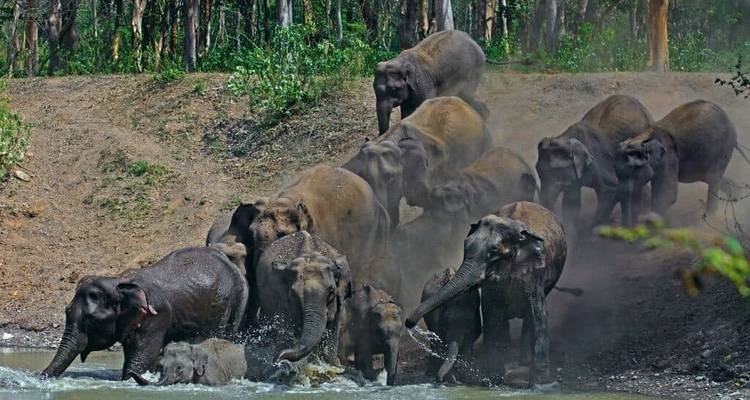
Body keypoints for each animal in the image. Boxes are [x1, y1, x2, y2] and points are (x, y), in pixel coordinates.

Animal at [41, 247, 249, 380]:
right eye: (66, 311)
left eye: (91, 319)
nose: (39, 375)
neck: (118, 281)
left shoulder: (156, 316)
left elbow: (140, 360)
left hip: (232, 301)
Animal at [255, 231, 352, 365]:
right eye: (293, 293)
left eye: (332, 291)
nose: (277, 359)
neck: (310, 253)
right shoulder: (279, 295)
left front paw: (331, 363)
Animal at [406, 201, 567, 386]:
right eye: (465, 246)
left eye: (493, 252)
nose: (408, 323)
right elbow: (493, 316)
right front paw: (494, 381)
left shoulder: (535, 273)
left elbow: (538, 315)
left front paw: (542, 384)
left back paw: (525, 364)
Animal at [536, 95, 653, 232]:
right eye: (537, 170)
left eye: (557, 171)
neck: (565, 138)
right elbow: (571, 203)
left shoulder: (598, 162)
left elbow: (609, 189)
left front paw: (589, 231)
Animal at [615, 100, 746, 226]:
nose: (627, 226)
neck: (642, 137)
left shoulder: (668, 155)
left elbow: (667, 193)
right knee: (708, 177)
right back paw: (736, 196)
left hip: (723, 147)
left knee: (712, 178)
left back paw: (710, 217)